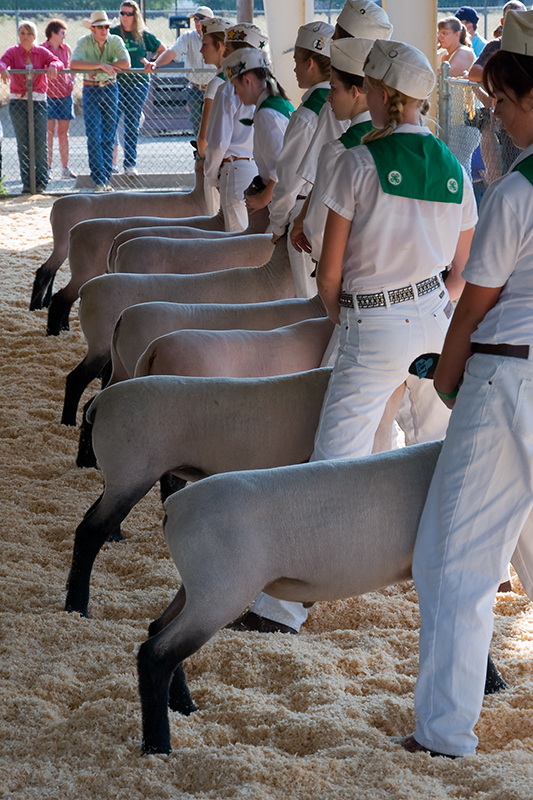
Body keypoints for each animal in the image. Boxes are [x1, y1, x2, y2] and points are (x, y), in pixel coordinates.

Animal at [28, 166, 209, 312]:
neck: (196, 198)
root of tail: (55, 205)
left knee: (51, 270)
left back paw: (42, 304)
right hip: (63, 243)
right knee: (46, 269)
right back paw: (36, 306)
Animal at [137, 444, 516, 756]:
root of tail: (174, 507)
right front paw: (495, 686)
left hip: (196, 588)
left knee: (158, 629)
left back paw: (184, 708)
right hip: (220, 592)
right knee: (157, 653)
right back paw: (159, 746)